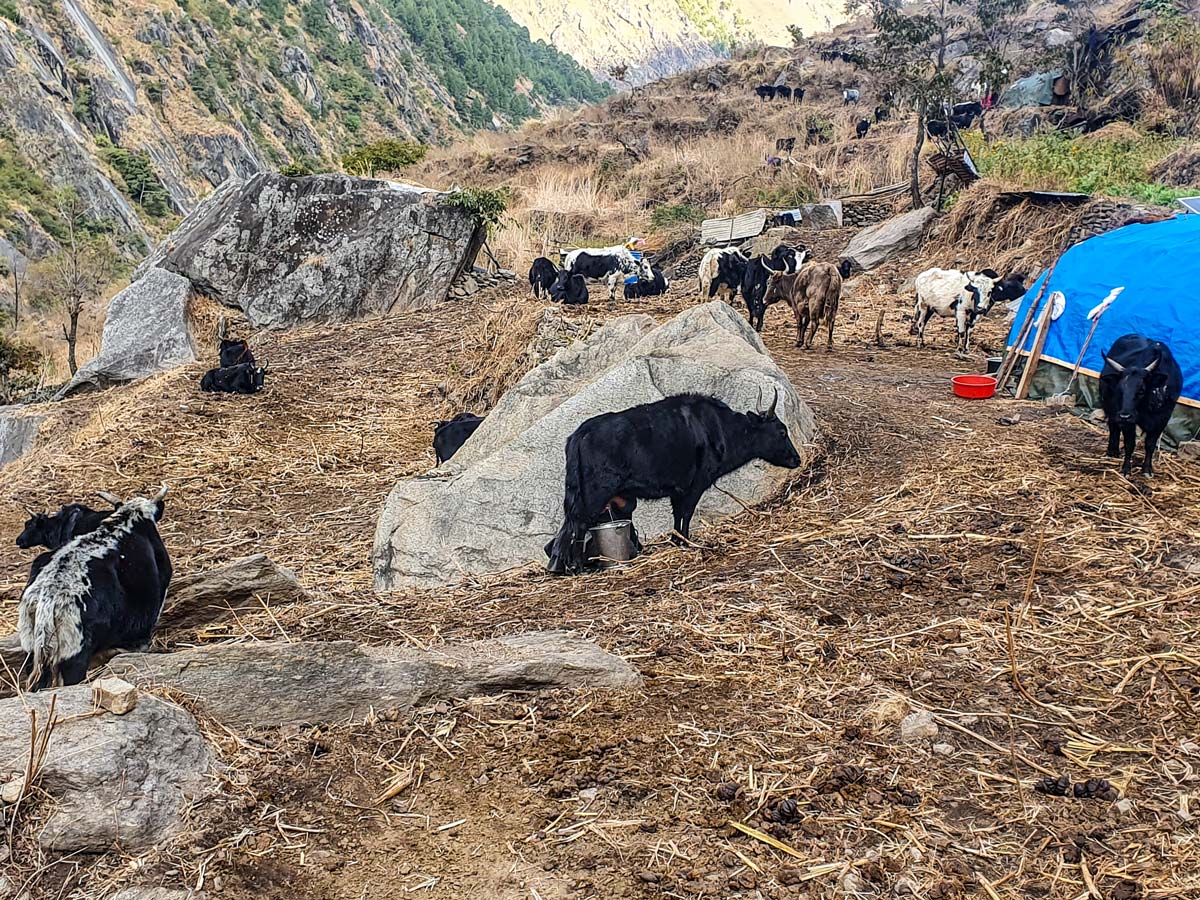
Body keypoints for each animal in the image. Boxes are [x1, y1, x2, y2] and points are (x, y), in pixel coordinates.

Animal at [544, 391, 796, 573]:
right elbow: (686, 515)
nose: (797, 459)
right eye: (782, 432)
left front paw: (677, 542)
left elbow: (677, 517)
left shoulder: (677, 491)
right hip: (594, 494)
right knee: (579, 524)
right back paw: (575, 566)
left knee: (570, 525)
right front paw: (686, 542)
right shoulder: (695, 486)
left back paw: (559, 565)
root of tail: (578, 435)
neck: (719, 429)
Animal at [1099, 336, 1180, 480]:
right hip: (1110, 409)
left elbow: (1150, 445)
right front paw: (1126, 469)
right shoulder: (1128, 422)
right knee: (1113, 427)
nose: (1125, 415)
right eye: (1120, 390)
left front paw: (1147, 469)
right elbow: (1130, 444)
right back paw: (1112, 451)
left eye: (1141, 390)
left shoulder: (1162, 420)